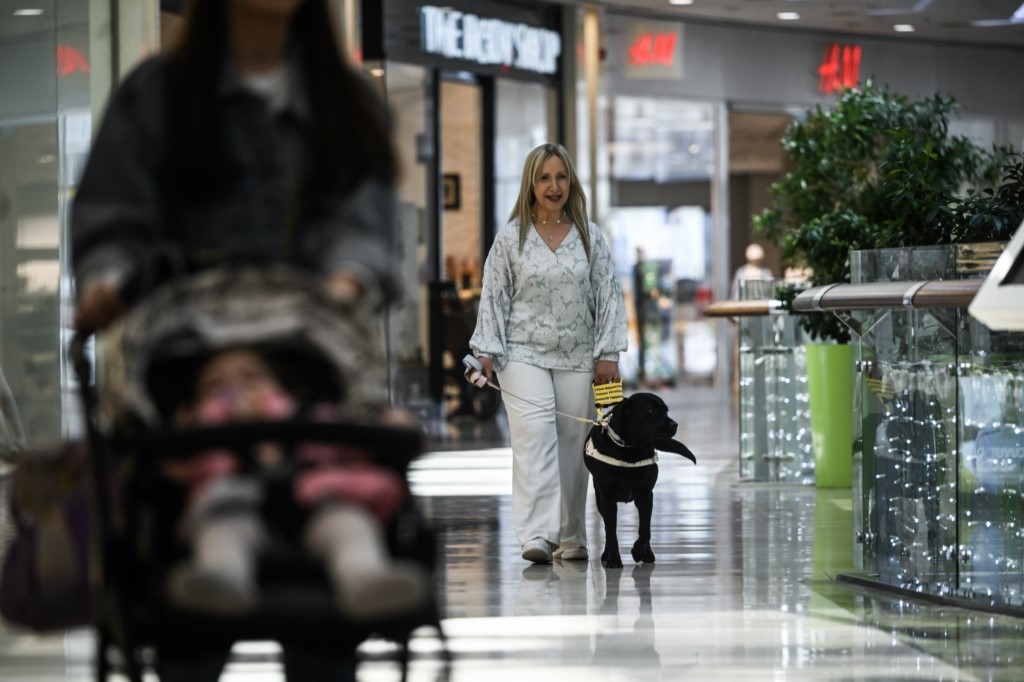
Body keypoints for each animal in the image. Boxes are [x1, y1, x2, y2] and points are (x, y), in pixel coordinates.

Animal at [585, 391, 696, 565]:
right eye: (652, 410)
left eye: (666, 411)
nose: (674, 425)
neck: (631, 449)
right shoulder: (607, 499)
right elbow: (611, 531)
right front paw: (613, 559)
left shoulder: (645, 495)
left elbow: (645, 530)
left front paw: (638, 551)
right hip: (599, 498)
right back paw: (606, 554)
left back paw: (647, 554)